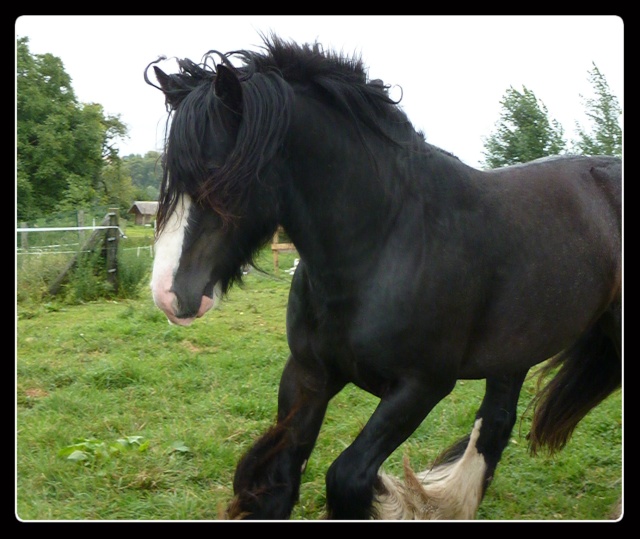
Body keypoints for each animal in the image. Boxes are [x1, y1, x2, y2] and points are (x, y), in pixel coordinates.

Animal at [146, 35, 620, 520]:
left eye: (218, 175)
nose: (168, 293)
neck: (382, 243)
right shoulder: (309, 373)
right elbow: (276, 478)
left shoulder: (420, 386)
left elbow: (347, 476)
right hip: (514, 349)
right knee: (495, 422)